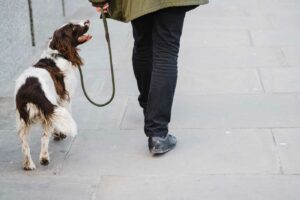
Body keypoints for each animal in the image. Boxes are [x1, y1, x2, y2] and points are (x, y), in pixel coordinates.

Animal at [14, 19, 91, 170]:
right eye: (72, 27)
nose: (87, 21)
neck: (57, 54)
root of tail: (29, 91)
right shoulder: (64, 98)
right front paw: (60, 134)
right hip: (47, 110)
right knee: (44, 137)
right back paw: (44, 158)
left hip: (23, 120)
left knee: (24, 142)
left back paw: (28, 164)